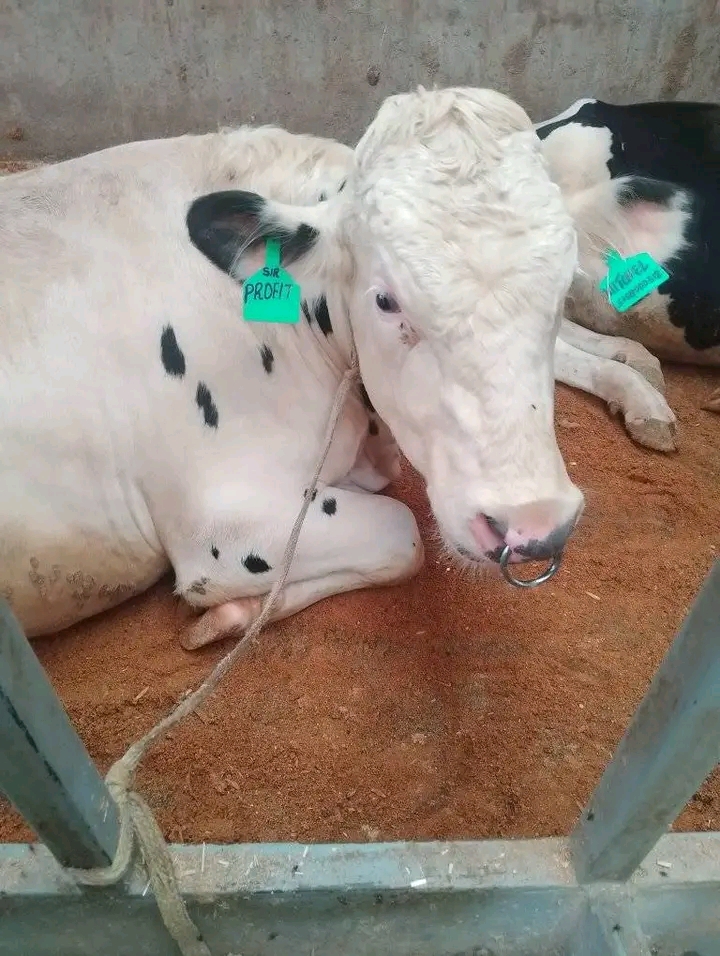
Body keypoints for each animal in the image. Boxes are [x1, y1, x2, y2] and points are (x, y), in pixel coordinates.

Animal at [0, 86, 585, 649]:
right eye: (386, 300)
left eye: (563, 288)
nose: (534, 524)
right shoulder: (223, 529)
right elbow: (403, 536)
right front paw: (232, 614)